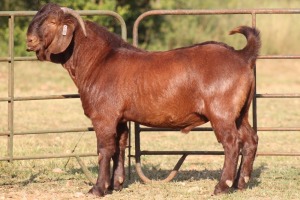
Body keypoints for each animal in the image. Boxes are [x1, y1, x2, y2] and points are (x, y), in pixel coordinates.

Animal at [26, 3, 260, 197]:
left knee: (231, 143)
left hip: (221, 112)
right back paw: (241, 183)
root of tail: (241, 56)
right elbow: (120, 146)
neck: (99, 60)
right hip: (240, 113)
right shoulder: (120, 118)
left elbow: (104, 149)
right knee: (250, 139)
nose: (30, 40)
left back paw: (222, 186)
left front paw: (98, 188)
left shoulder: (104, 117)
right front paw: (116, 184)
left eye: (53, 22)